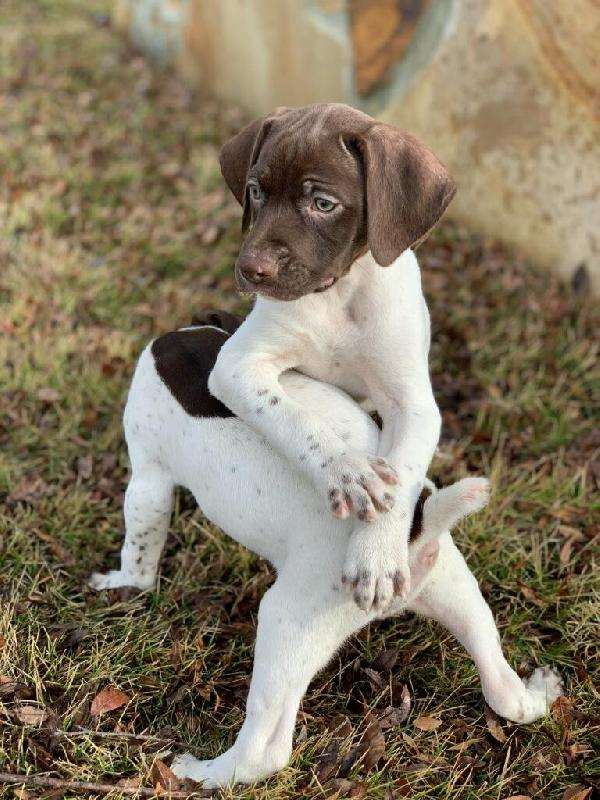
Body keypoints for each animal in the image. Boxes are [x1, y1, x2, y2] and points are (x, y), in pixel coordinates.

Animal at [206, 103, 454, 608]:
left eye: (323, 204)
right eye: (256, 191)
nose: (250, 270)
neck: (337, 293)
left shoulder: (413, 405)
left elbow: (404, 473)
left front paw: (376, 557)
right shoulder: (237, 364)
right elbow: (294, 419)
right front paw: (347, 472)